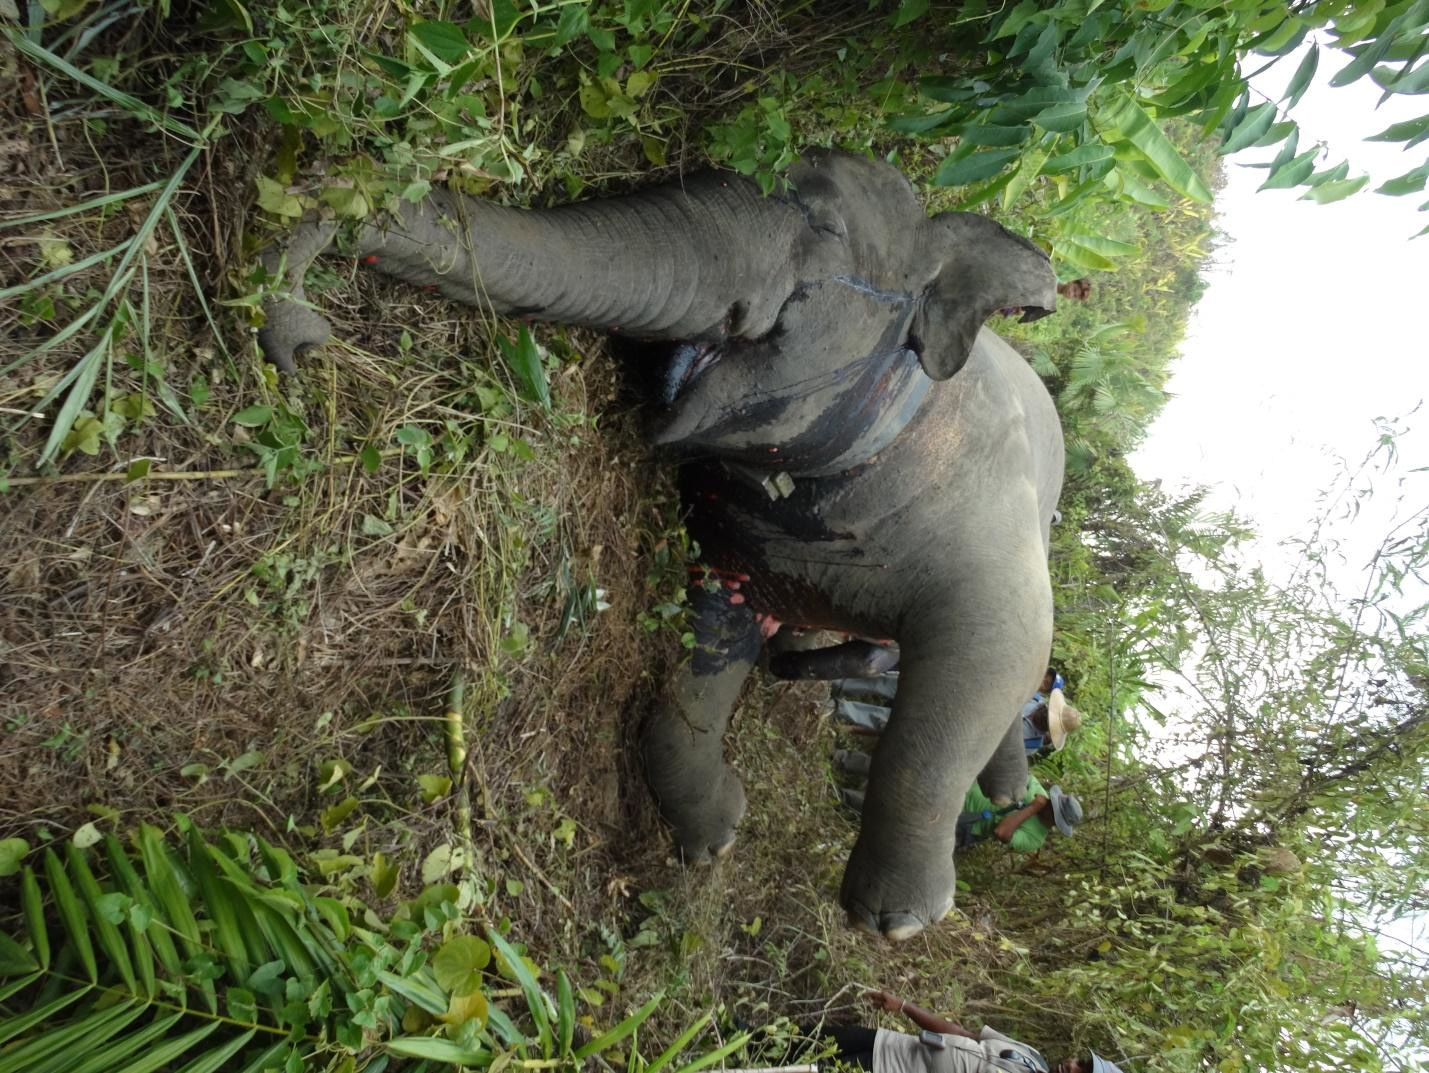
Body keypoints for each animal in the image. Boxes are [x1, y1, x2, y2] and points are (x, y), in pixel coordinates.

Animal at [257, 149, 1063, 940]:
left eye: (827, 226)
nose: (301, 337)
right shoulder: (741, 538)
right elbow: (706, 641)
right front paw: (715, 837)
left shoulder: (985, 503)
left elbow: (996, 651)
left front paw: (893, 918)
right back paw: (796, 663)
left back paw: (1005, 790)